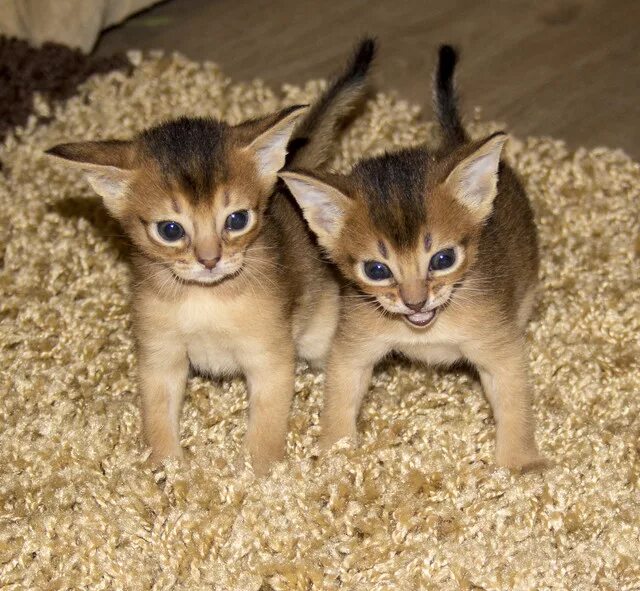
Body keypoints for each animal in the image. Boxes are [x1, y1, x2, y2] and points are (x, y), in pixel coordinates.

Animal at [47, 39, 378, 476]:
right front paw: (166, 469)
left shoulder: (270, 356)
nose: (209, 260)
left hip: (320, 331)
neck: (205, 299)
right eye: (171, 230)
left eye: (236, 220)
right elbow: (158, 419)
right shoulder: (160, 355)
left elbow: (266, 427)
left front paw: (259, 476)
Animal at [282, 45, 548, 472]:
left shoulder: (499, 344)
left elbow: (514, 402)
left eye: (442, 259)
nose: (415, 301)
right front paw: (334, 453)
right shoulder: (355, 343)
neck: (427, 329)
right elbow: (340, 396)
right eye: (376, 269)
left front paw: (519, 464)